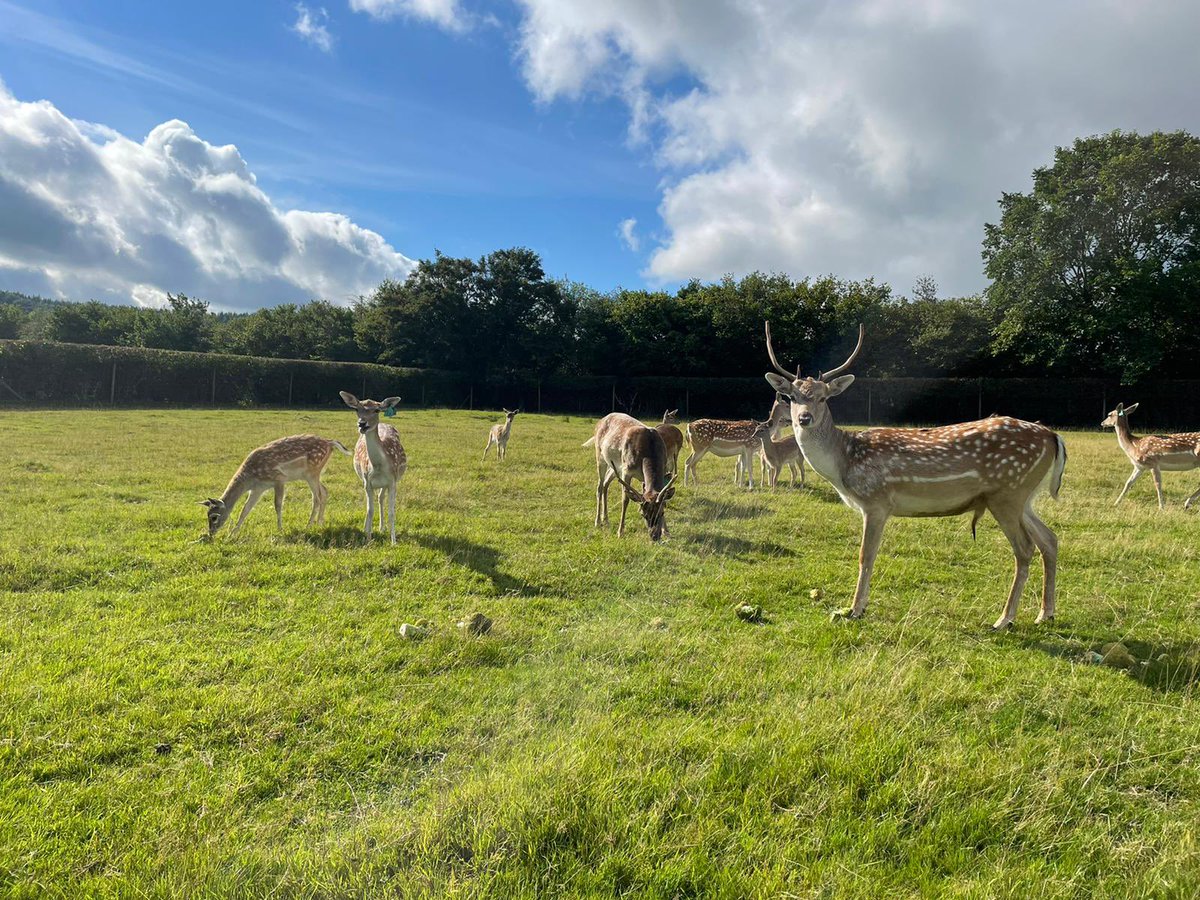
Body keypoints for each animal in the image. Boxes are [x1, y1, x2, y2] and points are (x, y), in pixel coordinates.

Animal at [199, 434, 350, 539]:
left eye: (214, 517)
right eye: (207, 515)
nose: (211, 533)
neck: (251, 478)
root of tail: (330, 442)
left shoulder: (279, 478)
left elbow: (278, 505)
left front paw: (280, 530)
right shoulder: (258, 489)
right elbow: (245, 509)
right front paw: (232, 534)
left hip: (312, 472)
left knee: (317, 497)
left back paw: (308, 526)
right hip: (314, 474)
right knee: (324, 491)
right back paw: (319, 523)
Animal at [339, 392, 408, 544]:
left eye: (376, 410)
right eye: (356, 409)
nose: (362, 423)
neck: (378, 467)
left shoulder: (393, 481)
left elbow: (391, 511)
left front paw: (393, 541)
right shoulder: (367, 482)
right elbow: (370, 510)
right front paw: (368, 539)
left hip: (387, 483)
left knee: (381, 498)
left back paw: (382, 527)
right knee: (373, 502)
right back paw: (367, 529)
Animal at [584, 413, 676, 541]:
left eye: (662, 512)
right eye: (643, 514)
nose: (654, 536)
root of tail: (600, 421)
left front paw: (666, 532)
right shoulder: (626, 471)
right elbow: (625, 500)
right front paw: (620, 532)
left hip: (615, 466)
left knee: (606, 483)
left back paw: (606, 519)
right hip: (600, 456)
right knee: (599, 486)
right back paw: (597, 522)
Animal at [764, 322, 1067, 629]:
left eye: (824, 397)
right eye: (792, 397)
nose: (804, 418)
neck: (844, 463)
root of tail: (1053, 437)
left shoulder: (876, 501)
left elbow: (865, 555)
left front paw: (855, 609)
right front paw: (859, 606)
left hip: (1008, 493)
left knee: (1025, 548)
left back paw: (1004, 619)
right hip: (1023, 497)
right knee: (1049, 539)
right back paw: (1045, 613)